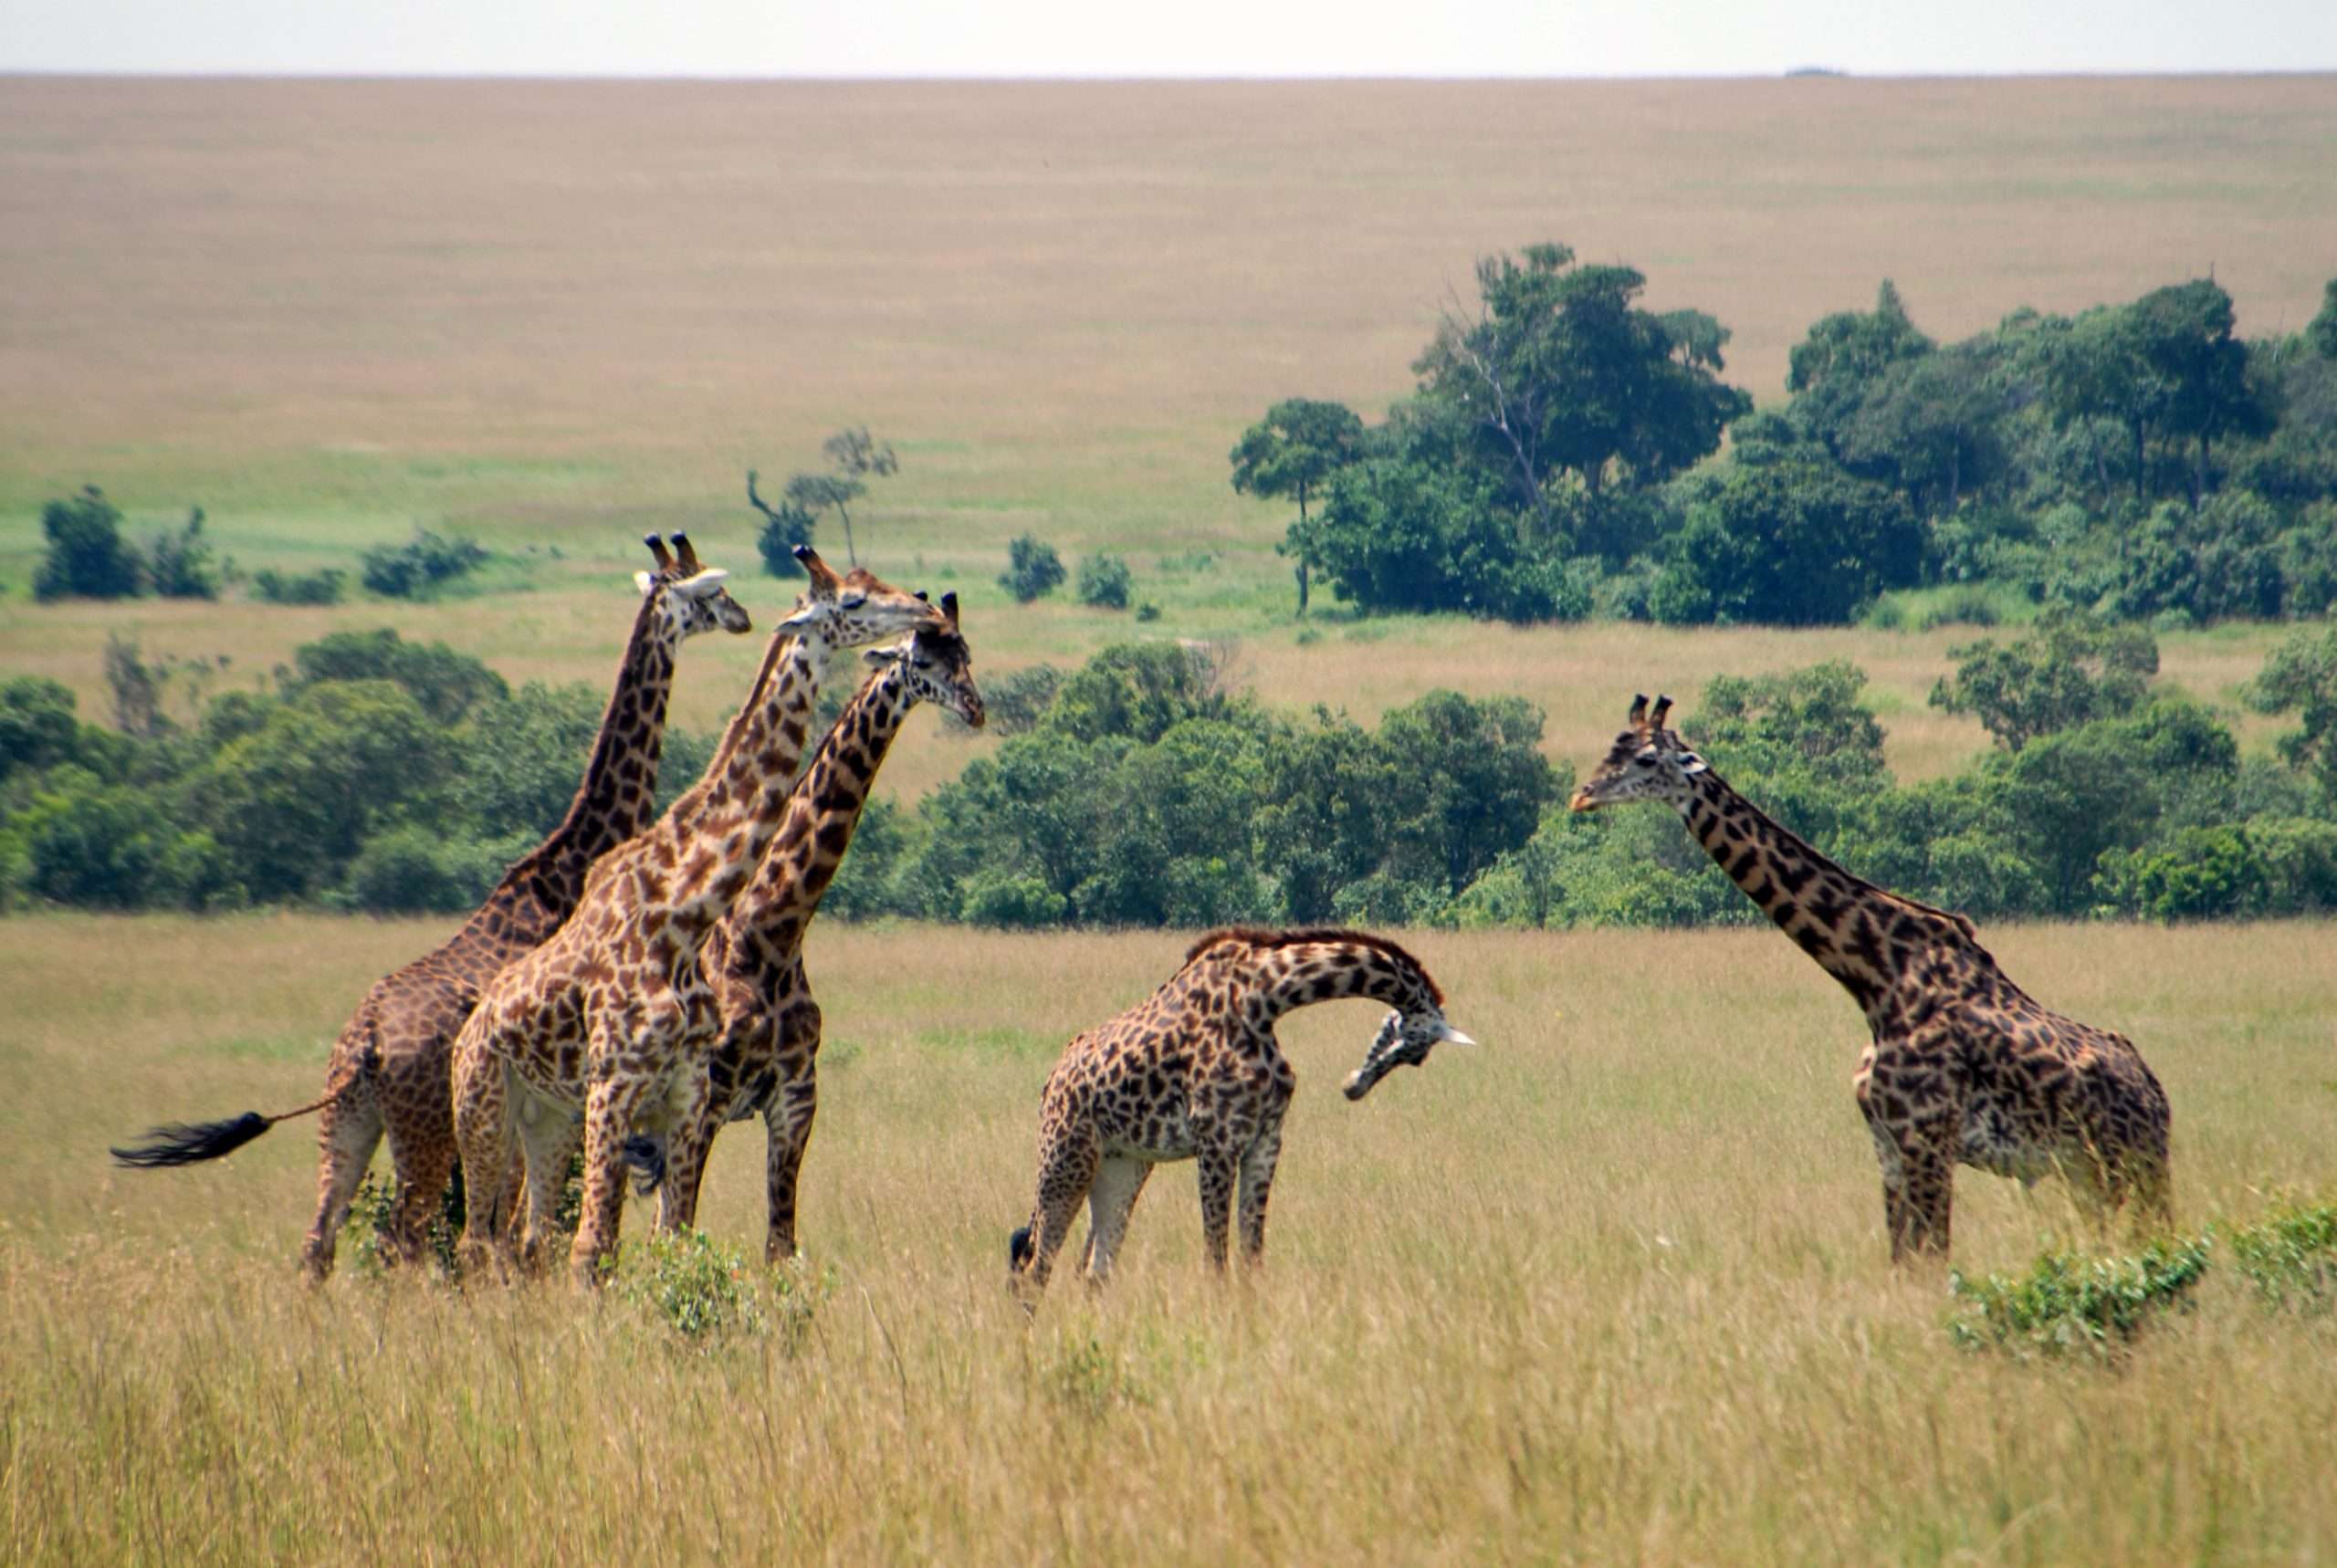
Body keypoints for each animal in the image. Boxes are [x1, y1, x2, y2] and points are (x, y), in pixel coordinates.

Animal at [111, 532, 748, 1281]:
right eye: (710, 592)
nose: (744, 617)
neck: (567, 865)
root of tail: (364, 1046)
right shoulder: (549, 1099)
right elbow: (519, 1234)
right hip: (425, 1131)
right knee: (401, 1239)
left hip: (350, 1123)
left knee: (320, 1240)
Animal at [445, 549, 939, 1290]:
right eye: (852, 602)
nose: (927, 610)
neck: (684, 914)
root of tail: (467, 1033)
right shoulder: (618, 1085)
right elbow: (594, 1249)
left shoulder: (686, 1095)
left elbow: (675, 1243)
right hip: (485, 1110)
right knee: (480, 1242)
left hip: (548, 1120)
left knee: (525, 1241)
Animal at [654, 591, 990, 1261]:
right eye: (922, 660)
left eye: (966, 652)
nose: (975, 707)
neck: (774, 935)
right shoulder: (706, 1102)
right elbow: (680, 1233)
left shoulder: (796, 1101)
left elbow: (781, 1246)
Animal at [1009, 925, 1476, 1308]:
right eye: (1414, 1051)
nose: (1354, 1087)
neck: (1265, 1000)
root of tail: (1051, 1082)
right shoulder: (1217, 1142)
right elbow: (1216, 1259)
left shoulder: (1265, 1141)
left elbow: (1252, 1258)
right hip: (1066, 1158)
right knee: (1034, 1269)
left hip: (1123, 1166)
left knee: (1095, 1271)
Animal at [1570, 695, 2168, 1261]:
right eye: (1612, 746)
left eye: (1646, 758)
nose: (1582, 796)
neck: (1876, 977)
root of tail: (2157, 1095)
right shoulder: (1887, 1146)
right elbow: (1905, 1263)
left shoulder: (1928, 1140)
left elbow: (1933, 1261)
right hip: (2086, 1173)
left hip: (2129, 1167)